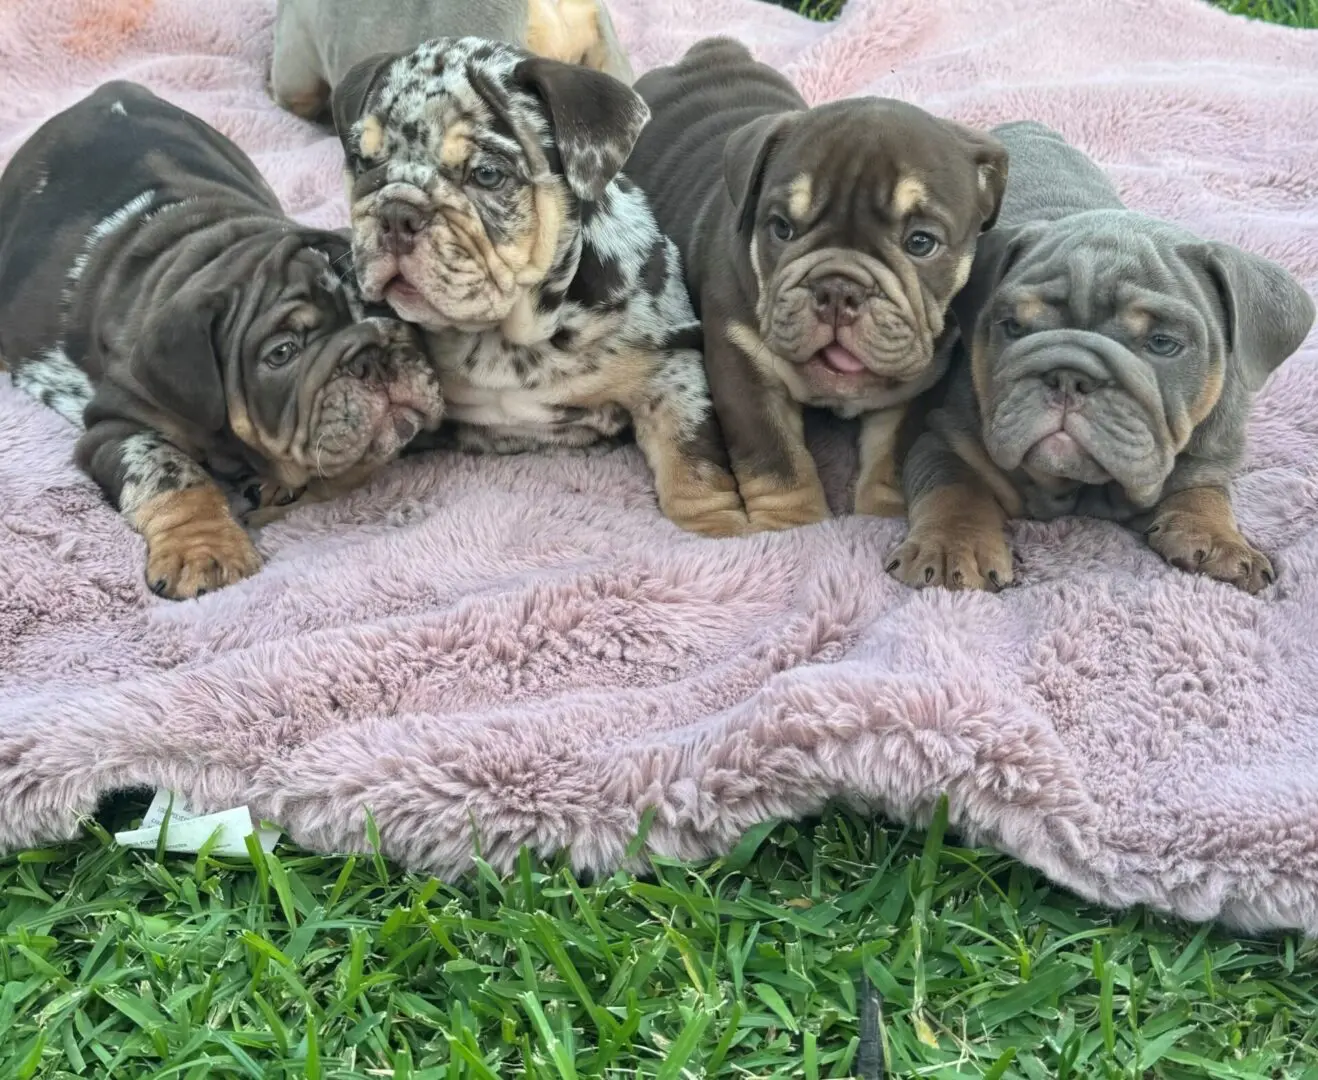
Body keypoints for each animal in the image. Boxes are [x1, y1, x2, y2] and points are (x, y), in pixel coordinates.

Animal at [0, 82, 445, 598]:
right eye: (282, 353)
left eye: (387, 309)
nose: (372, 354)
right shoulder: (113, 426)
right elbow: (172, 473)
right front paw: (205, 550)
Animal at [329, 36, 753, 535]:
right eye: (362, 163)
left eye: (487, 174)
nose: (396, 213)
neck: (503, 336)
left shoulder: (671, 372)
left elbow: (692, 456)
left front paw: (716, 528)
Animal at [627, 39, 1006, 532]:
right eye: (781, 228)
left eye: (921, 242)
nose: (838, 290)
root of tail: (712, 53)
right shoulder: (745, 374)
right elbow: (777, 460)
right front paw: (793, 527)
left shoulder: (919, 386)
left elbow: (892, 457)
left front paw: (882, 516)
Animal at [890, 122, 1312, 596]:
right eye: (1013, 326)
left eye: (1163, 343)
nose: (1068, 377)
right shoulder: (947, 437)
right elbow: (953, 488)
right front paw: (951, 546)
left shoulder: (1212, 453)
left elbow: (1203, 488)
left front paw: (1220, 538)